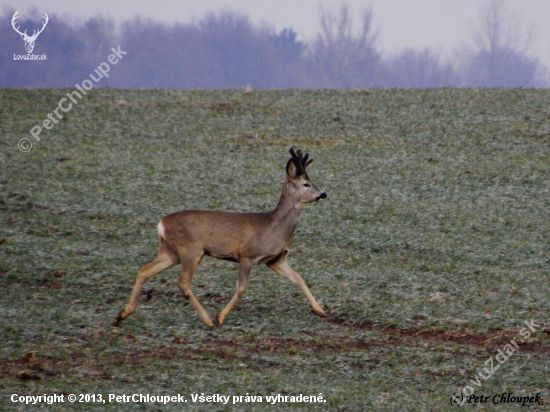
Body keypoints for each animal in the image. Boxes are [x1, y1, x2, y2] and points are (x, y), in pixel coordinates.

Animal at [113, 148, 328, 328]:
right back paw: (208, 320)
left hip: (171, 252)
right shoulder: (247, 255)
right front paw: (221, 316)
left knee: (145, 270)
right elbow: (241, 288)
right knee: (183, 282)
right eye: (306, 184)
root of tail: (161, 224)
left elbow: (299, 278)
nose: (323, 194)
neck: (275, 227)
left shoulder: (276, 260)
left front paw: (320, 310)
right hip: (191, 249)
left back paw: (121, 315)